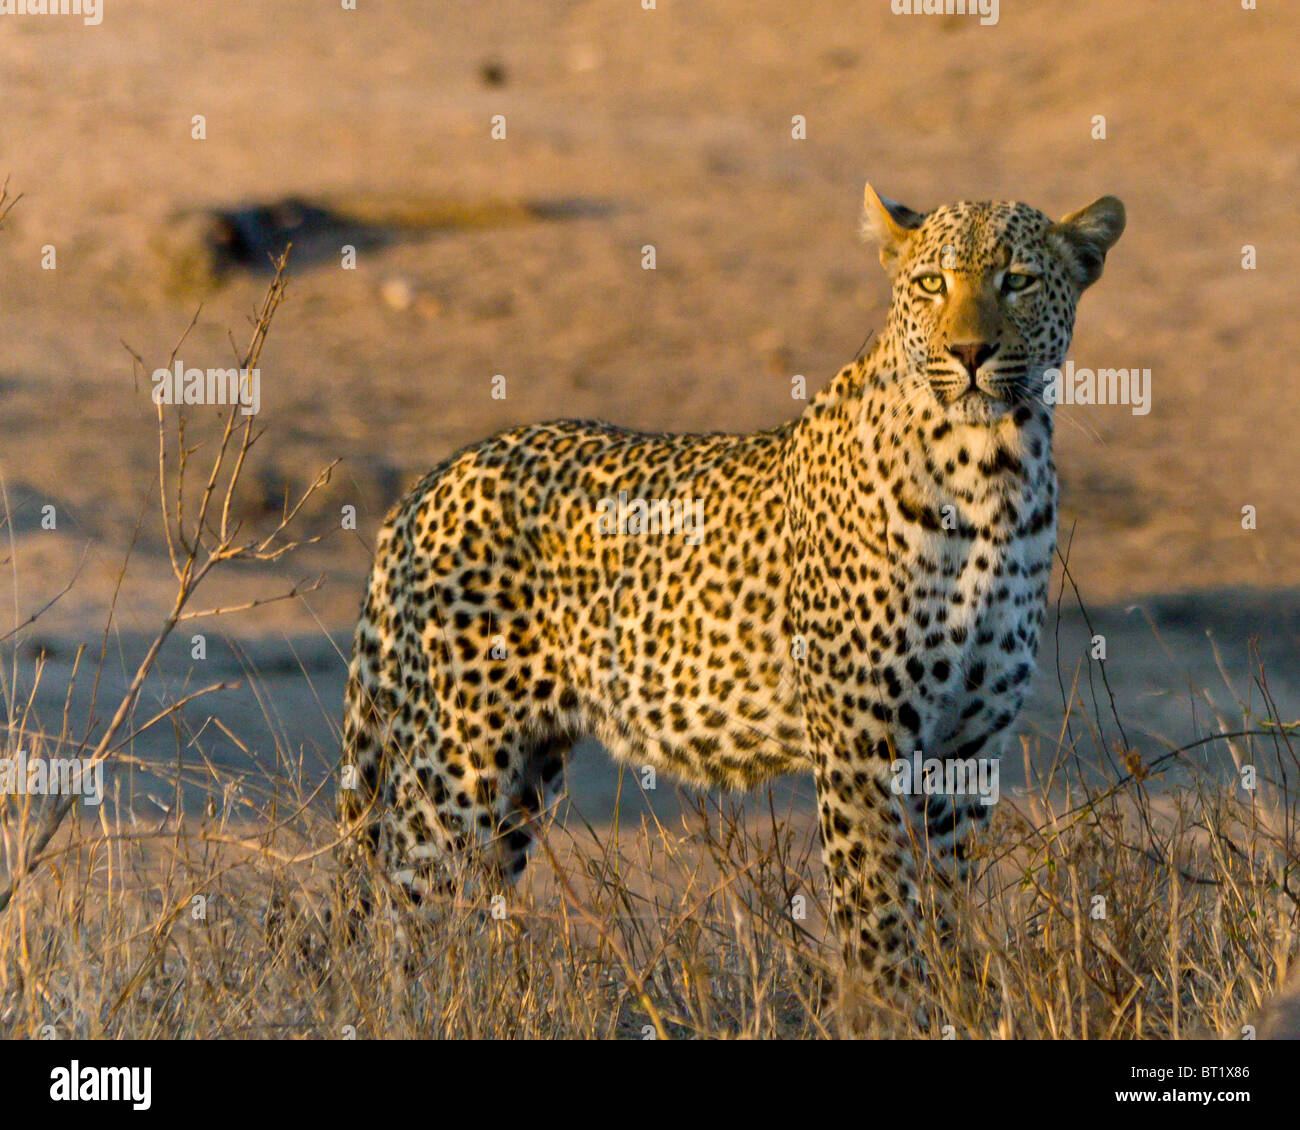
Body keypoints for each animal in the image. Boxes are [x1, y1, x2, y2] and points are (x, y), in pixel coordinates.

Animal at [340, 183, 1123, 1024]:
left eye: (1017, 281)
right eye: (931, 284)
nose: (969, 354)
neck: (993, 477)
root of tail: (428, 485)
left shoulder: (968, 748)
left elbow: (948, 908)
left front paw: (955, 1006)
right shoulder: (861, 747)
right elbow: (879, 915)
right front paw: (893, 1013)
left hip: (523, 772)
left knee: (461, 904)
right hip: (458, 758)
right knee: (403, 904)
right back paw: (399, 1009)